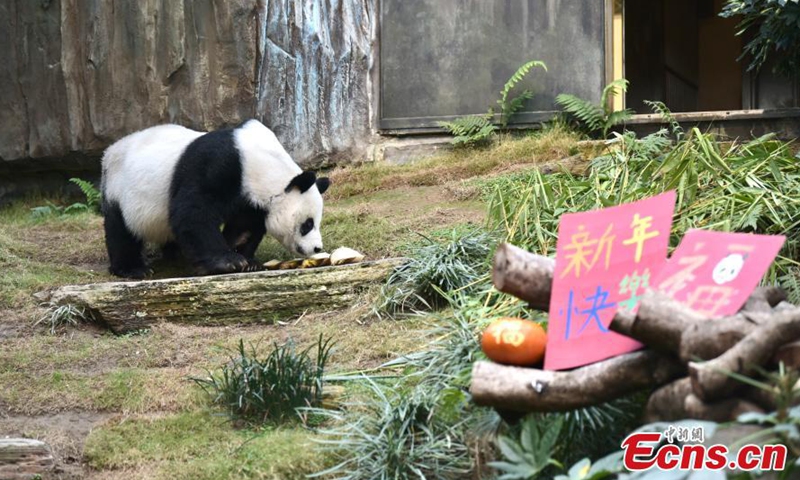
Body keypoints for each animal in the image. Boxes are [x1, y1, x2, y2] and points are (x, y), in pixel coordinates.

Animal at [101, 118, 332, 280]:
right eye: (307, 224)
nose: (317, 248)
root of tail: (109, 151)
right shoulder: (216, 165)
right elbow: (193, 212)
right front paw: (228, 262)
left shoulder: (248, 195)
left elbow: (244, 225)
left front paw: (246, 259)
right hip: (119, 190)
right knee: (120, 230)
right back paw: (133, 269)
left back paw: (174, 253)